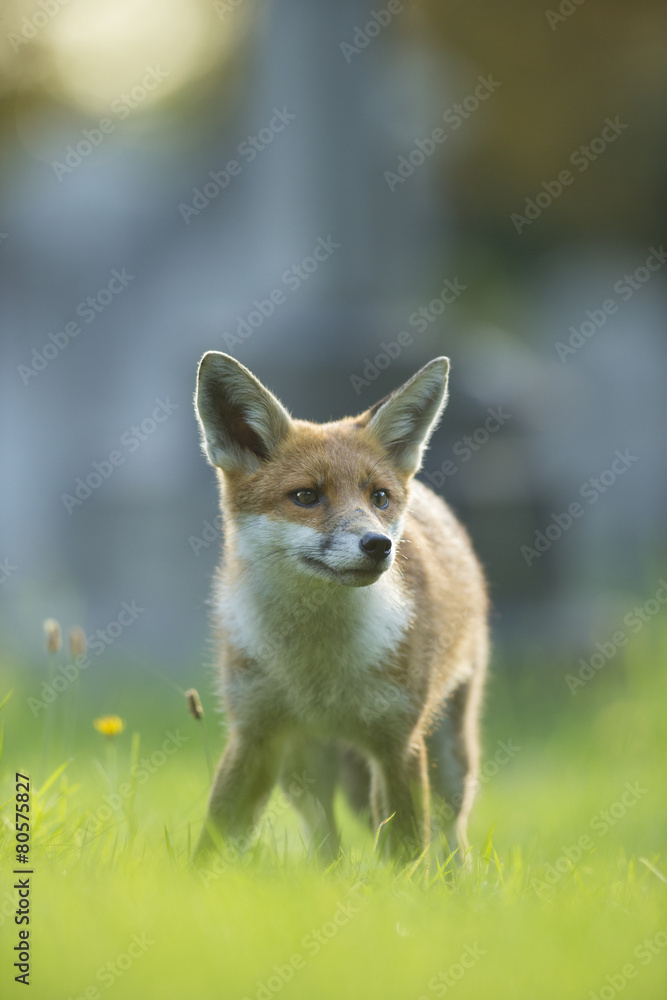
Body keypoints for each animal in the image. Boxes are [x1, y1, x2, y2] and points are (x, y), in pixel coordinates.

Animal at [193, 352, 489, 865]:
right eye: (306, 496)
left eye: (379, 498)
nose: (379, 545)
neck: (319, 668)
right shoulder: (255, 734)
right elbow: (214, 839)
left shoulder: (398, 744)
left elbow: (408, 854)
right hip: (303, 770)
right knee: (324, 840)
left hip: (449, 761)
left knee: (450, 840)